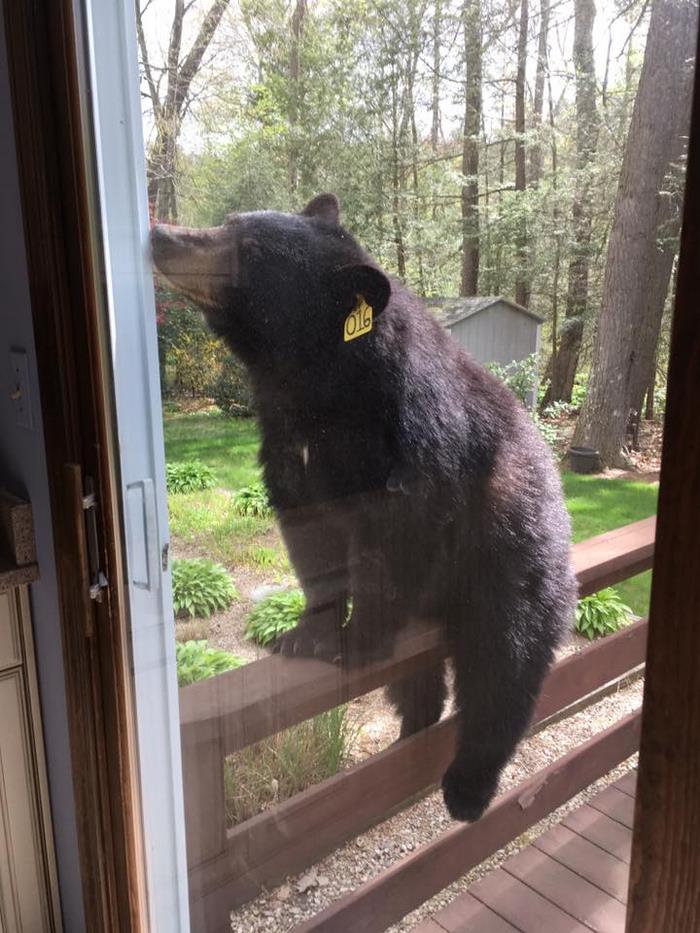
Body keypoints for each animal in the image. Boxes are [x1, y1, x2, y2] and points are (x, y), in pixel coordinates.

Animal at [151, 193, 577, 822]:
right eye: (230, 223)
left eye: (246, 249)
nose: (160, 236)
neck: (320, 387)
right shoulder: (286, 442)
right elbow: (309, 535)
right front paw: (306, 632)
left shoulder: (416, 437)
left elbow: (397, 538)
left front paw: (360, 639)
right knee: (423, 685)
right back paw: (410, 735)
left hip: (513, 559)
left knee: (506, 664)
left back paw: (467, 786)